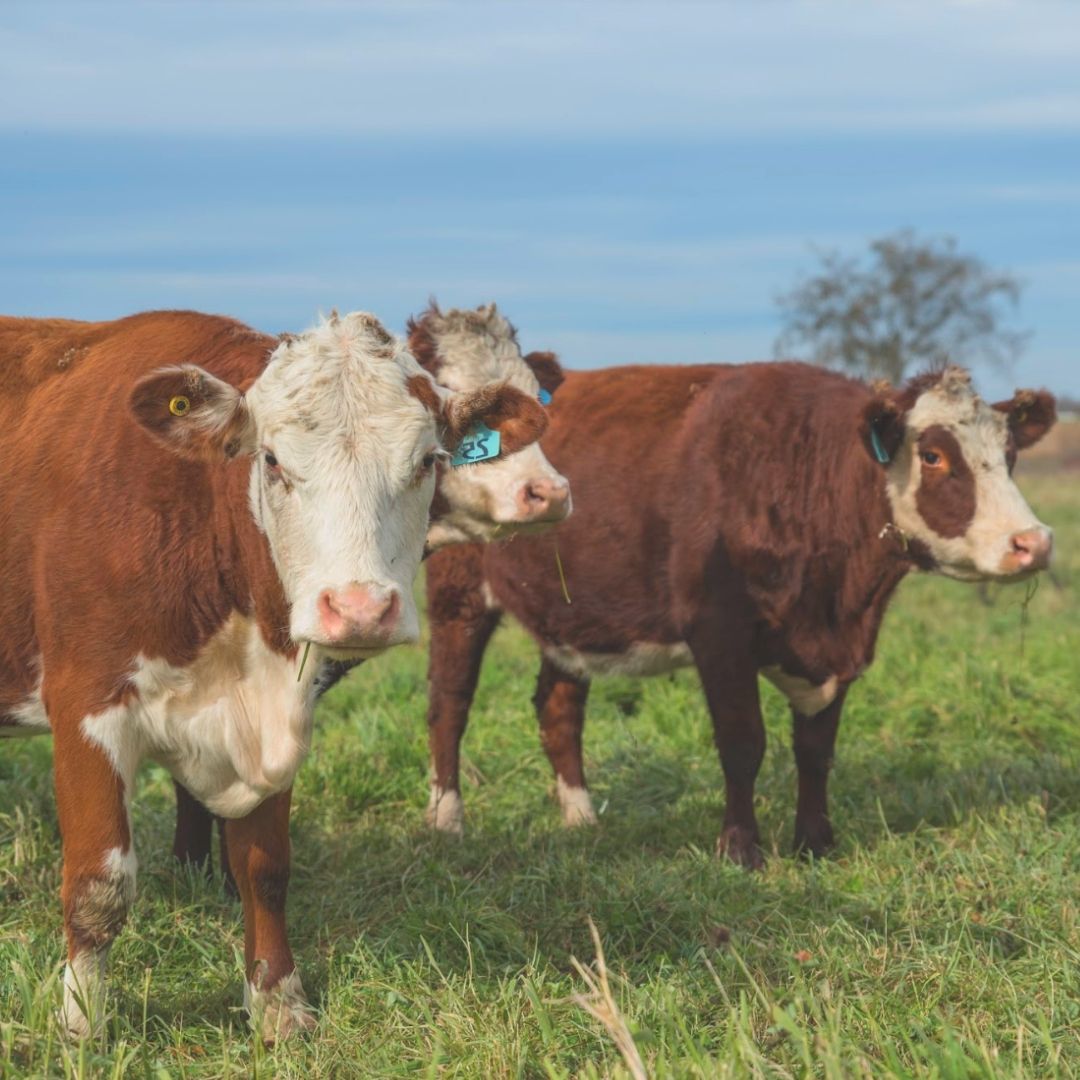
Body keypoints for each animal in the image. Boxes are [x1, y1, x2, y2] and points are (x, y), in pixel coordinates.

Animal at [0, 308, 548, 1041]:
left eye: (429, 461)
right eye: (273, 461)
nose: (360, 608)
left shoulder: (277, 714)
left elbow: (265, 867)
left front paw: (277, 1003)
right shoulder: (86, 705)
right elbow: (98, 884)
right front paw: (82, 1025)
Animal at [421, 358, 1054, 864]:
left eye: (1010, 456)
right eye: (933, 455)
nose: (1033, 542)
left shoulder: (835, 648)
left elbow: (816, 751)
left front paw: (815, 843)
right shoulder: (718, 632)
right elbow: (743, 742)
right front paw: (740, 849)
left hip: (572, 612)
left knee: (558, 707)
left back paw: (581, 819)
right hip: (457, 592)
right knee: (450, 704)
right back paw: (447, 821)